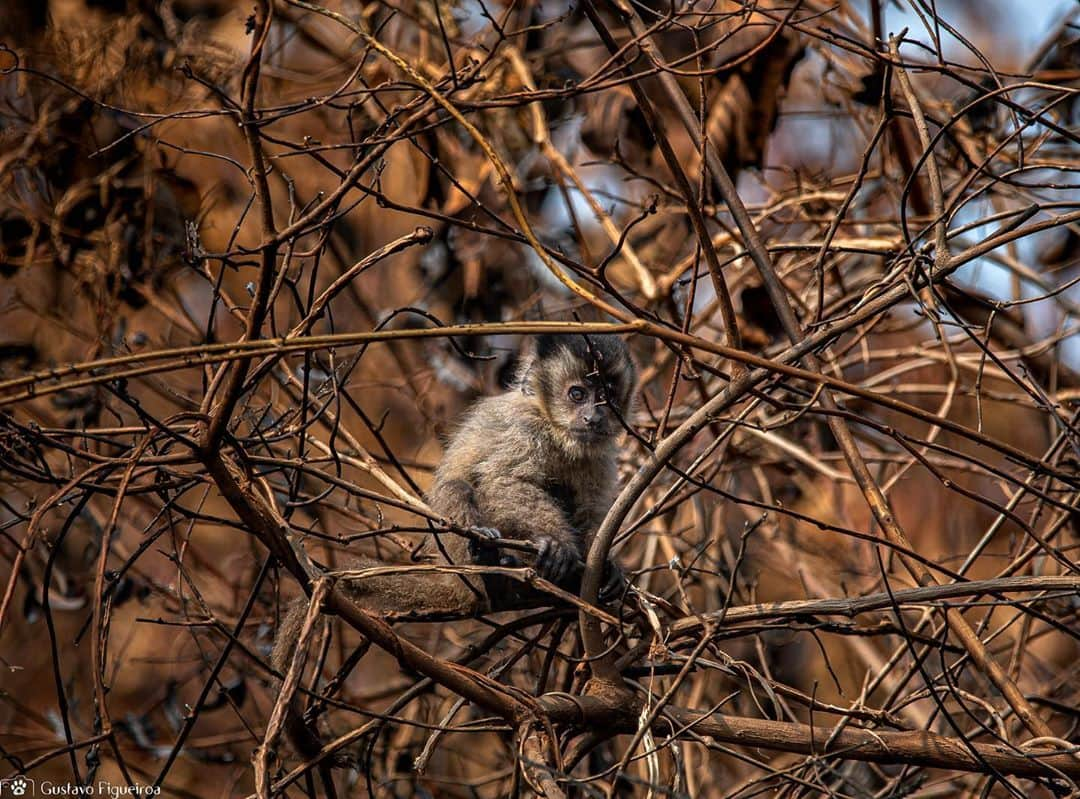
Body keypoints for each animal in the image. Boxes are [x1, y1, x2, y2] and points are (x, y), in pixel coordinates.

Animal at [270, 330, 635, 781]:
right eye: (577, 394)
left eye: (607, 397)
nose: (593, 417)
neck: (552, 427)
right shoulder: (526, 429)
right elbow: (500, 482)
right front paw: (556, 544)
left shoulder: (596, 453)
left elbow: (590, 510)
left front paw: (608, 570)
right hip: (456, 551)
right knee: (461, 487)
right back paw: (493, 563)